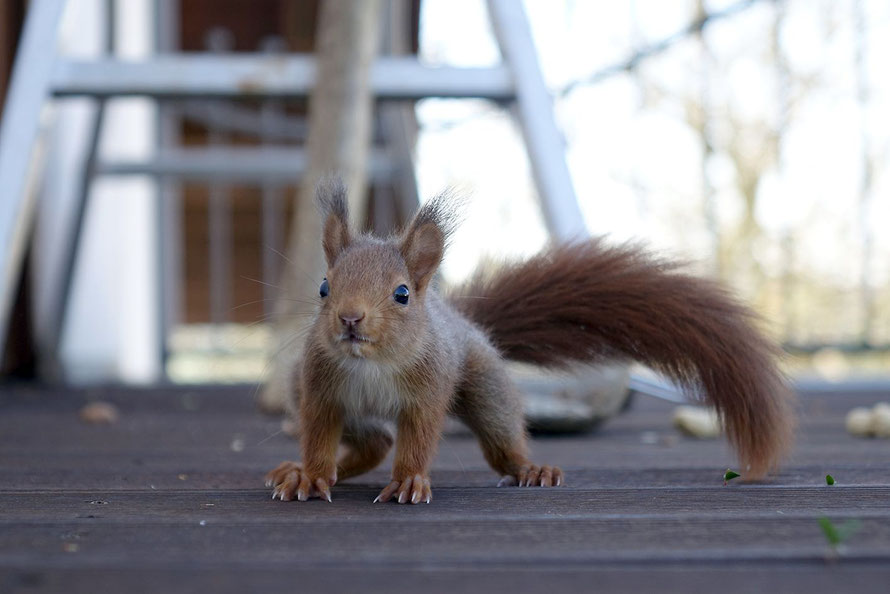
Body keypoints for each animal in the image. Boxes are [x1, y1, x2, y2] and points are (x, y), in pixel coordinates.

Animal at [264, 178, 792, 502]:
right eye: (324, 287)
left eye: (402, 294)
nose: (350, 319)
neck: (372, 363)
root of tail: (463, 321)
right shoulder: (320, 389)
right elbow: (318, 434)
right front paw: (310, 474)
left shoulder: (428, 389)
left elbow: (418, 437)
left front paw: (410, 481)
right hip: (307, 390)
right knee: (373, 440)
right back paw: (304, 468)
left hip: (485, 384)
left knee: (497, 438)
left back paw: (530, 470)